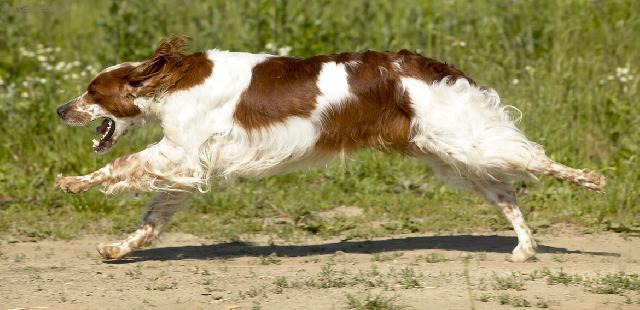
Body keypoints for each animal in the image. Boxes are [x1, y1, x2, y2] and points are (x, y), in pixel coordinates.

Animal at [56, 37, 604, 262]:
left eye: (92, 92)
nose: (62, 109)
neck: (169, 84)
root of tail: (434, 66)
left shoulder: (182, 153)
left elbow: (122, 165)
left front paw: (72, 182)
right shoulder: (188, 167)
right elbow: (151, 220)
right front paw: (117, 248)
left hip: (465, 140)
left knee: (533, 159)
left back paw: (591, 179)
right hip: (449, 156)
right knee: (508, 194)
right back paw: (526, 249)